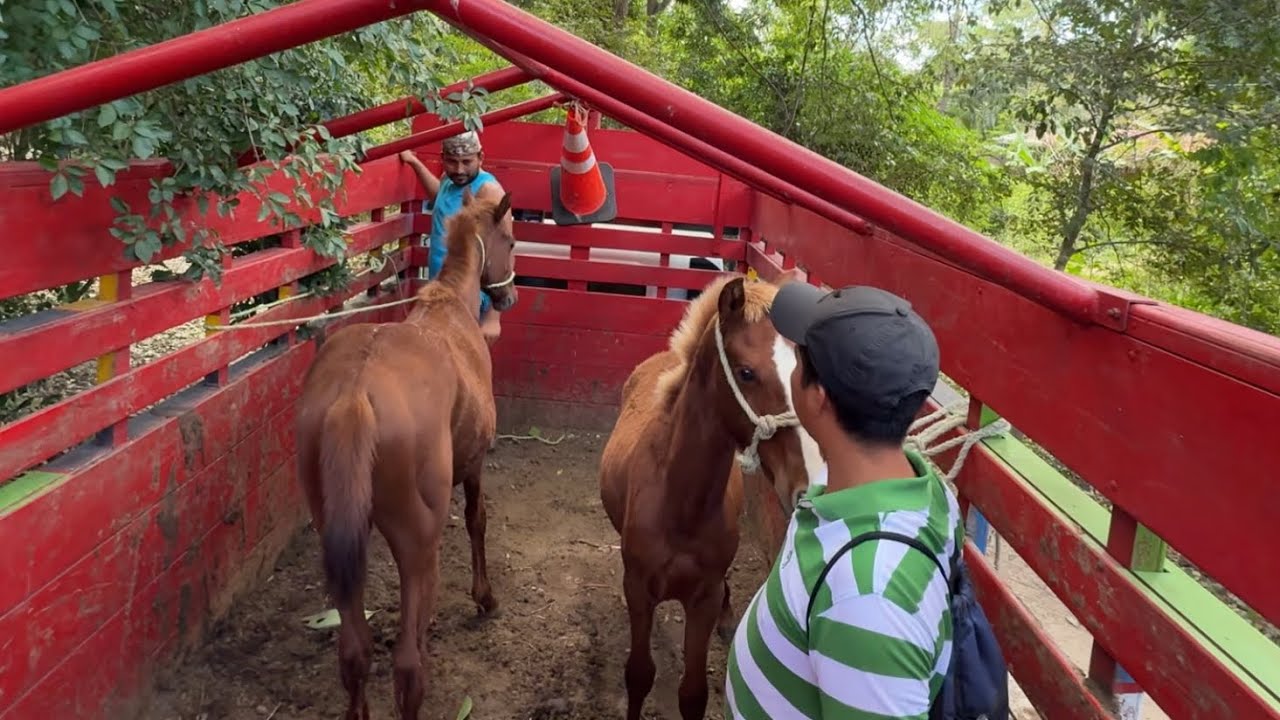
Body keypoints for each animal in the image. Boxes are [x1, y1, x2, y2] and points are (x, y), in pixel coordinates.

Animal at [295, 189, 518, 720]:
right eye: (511, 239)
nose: (507, 296)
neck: (450, 305)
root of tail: (355, 396)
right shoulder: (475, 463)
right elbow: (478, 519)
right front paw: (484, 597)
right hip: (416, 540)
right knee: (408, 667)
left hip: (335, 531)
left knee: (354, 652)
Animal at [598, 272, 823, 720]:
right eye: (747, 372)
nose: (807, 484)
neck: (681, 506)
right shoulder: (638, 589)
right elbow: (639, 674)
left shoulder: (703, 596)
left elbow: (693, 693)